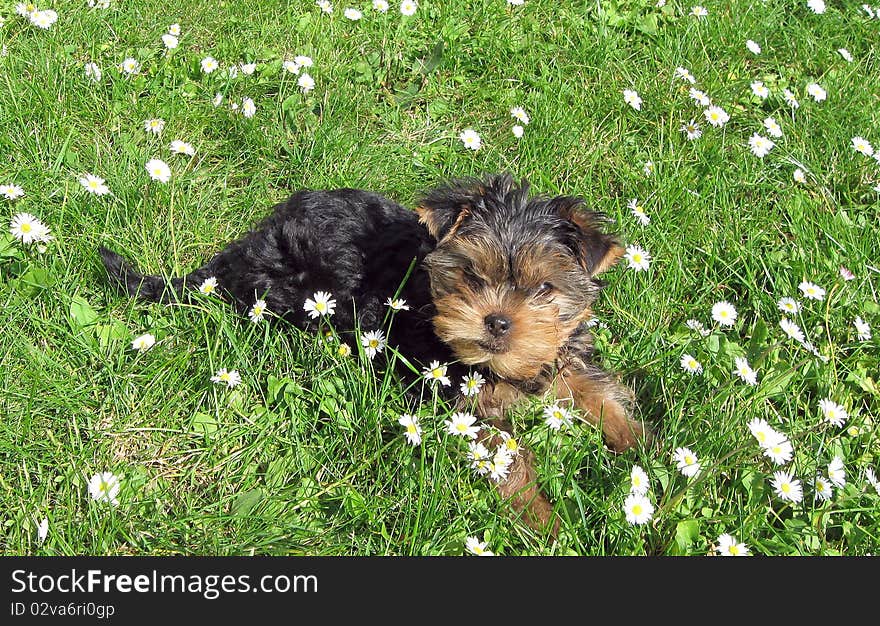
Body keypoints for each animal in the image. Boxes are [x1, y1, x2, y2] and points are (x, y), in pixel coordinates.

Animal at [99, 173, 648, 532]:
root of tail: (241, 250)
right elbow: (507, 459)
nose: (497, 322)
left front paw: (644, 452)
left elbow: (598, 392)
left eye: (544, 289)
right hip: (291, 294)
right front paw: (546, 523)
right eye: (472, 275)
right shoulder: (462, 403)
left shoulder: (563, 357)